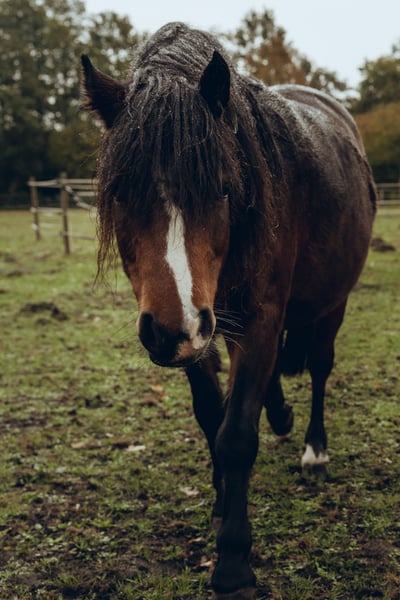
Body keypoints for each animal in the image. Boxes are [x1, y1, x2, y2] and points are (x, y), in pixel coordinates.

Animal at [81, 22, 376, 599]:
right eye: (121, 192)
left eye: (222, 189)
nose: (171, 330)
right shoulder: (194, 331)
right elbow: (211, 418)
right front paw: (220, 505)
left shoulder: (250, 318)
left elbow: (236, 433)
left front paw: (234, 561)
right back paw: (281, 414)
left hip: (332, 303)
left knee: (320, 368)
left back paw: (314, 449)